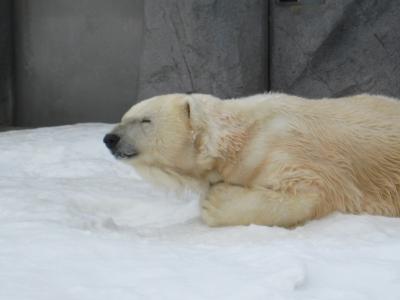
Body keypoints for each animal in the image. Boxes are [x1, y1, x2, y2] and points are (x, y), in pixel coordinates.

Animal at [104, 92, 400, 226]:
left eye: (145, 120)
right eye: (125, 116)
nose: (110, 138)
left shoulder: (282, 146)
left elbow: (311, 189)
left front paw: (214, 202)